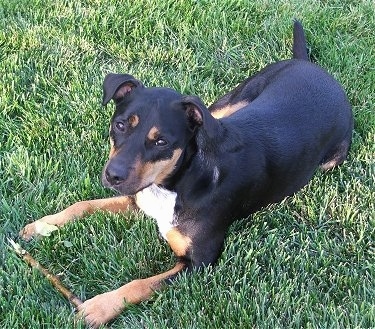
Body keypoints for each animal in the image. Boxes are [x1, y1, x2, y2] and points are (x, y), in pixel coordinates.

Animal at [19, 20, 356, 326]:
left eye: (161, 141)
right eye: (120, 124)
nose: (113, 176)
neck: (178, 181)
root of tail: (310, 65)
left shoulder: (199, 262)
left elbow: (140, 284)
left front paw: (99, 307)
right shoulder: (137, 197)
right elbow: (83, 205)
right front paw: (41, 225)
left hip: (330, 158)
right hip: (226, 105)